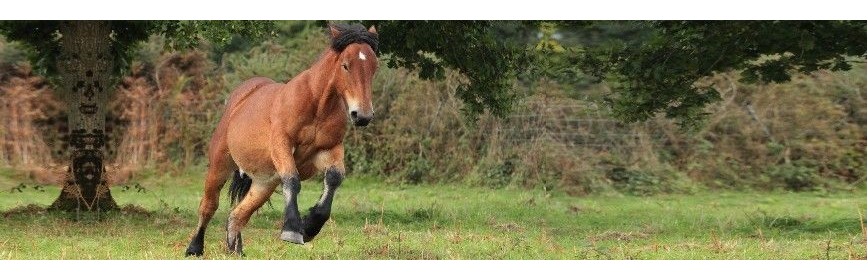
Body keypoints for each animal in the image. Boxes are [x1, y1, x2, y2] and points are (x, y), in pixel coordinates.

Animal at [185, 24, 378, 256]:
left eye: (374, 67)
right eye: (345, 65)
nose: (363, 115)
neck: (317, 105)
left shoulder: (330, 149)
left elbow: (334, 179)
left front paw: (310, 226)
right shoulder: (282, 145)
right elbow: (292, 180)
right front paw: (293, 230)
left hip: (264, 182)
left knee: (237, 214)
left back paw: (235, 251)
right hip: (220, 165)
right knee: (209, 205)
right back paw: (195, 248)